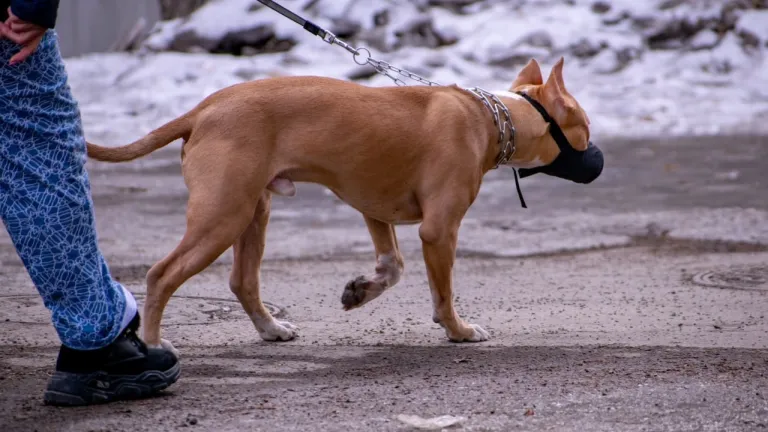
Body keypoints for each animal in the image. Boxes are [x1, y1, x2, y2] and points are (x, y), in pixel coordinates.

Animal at [84, 56, 600, 352]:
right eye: (587, 128)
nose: (598, 156)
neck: (495, 117)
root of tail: (202, 109)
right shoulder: (439, 229)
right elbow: (443, 292)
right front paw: (458, 331)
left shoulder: (376, 210)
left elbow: (392, 267)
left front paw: (360, 291)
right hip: (222, 216)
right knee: (161, 274)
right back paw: (154, 345)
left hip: (252, 212)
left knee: (241, 281)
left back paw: (271, 329)